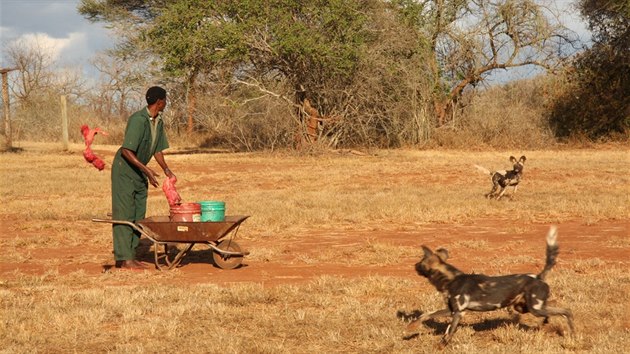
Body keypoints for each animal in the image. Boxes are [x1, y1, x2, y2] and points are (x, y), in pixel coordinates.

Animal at [408, 225, 576, 348]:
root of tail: (538, 276)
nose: (414, 265)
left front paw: (440, 347)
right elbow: (426, 315)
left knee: (566, 311)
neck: (450, 279)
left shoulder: (458, 313)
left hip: (535, 308)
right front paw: (412, 326)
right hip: (524, 307)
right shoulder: (451, 310)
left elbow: (448, 333)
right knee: (554, 307)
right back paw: (548, 323)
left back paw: (572, 333)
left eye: (420, 263)